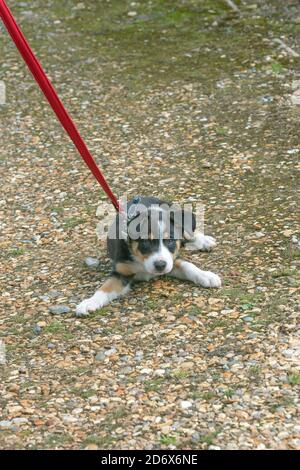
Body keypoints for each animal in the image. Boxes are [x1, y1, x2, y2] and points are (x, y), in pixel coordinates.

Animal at [75, 195, 220, 316]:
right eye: (145, 242)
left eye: (171, 240)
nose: (160, 266)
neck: (141, 261)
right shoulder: (121, 272)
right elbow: (104, 288)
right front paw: (89, 303)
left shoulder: (171, 261)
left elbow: (188, 266)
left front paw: (206, 276)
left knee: (188, 232)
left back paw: (204, 241)